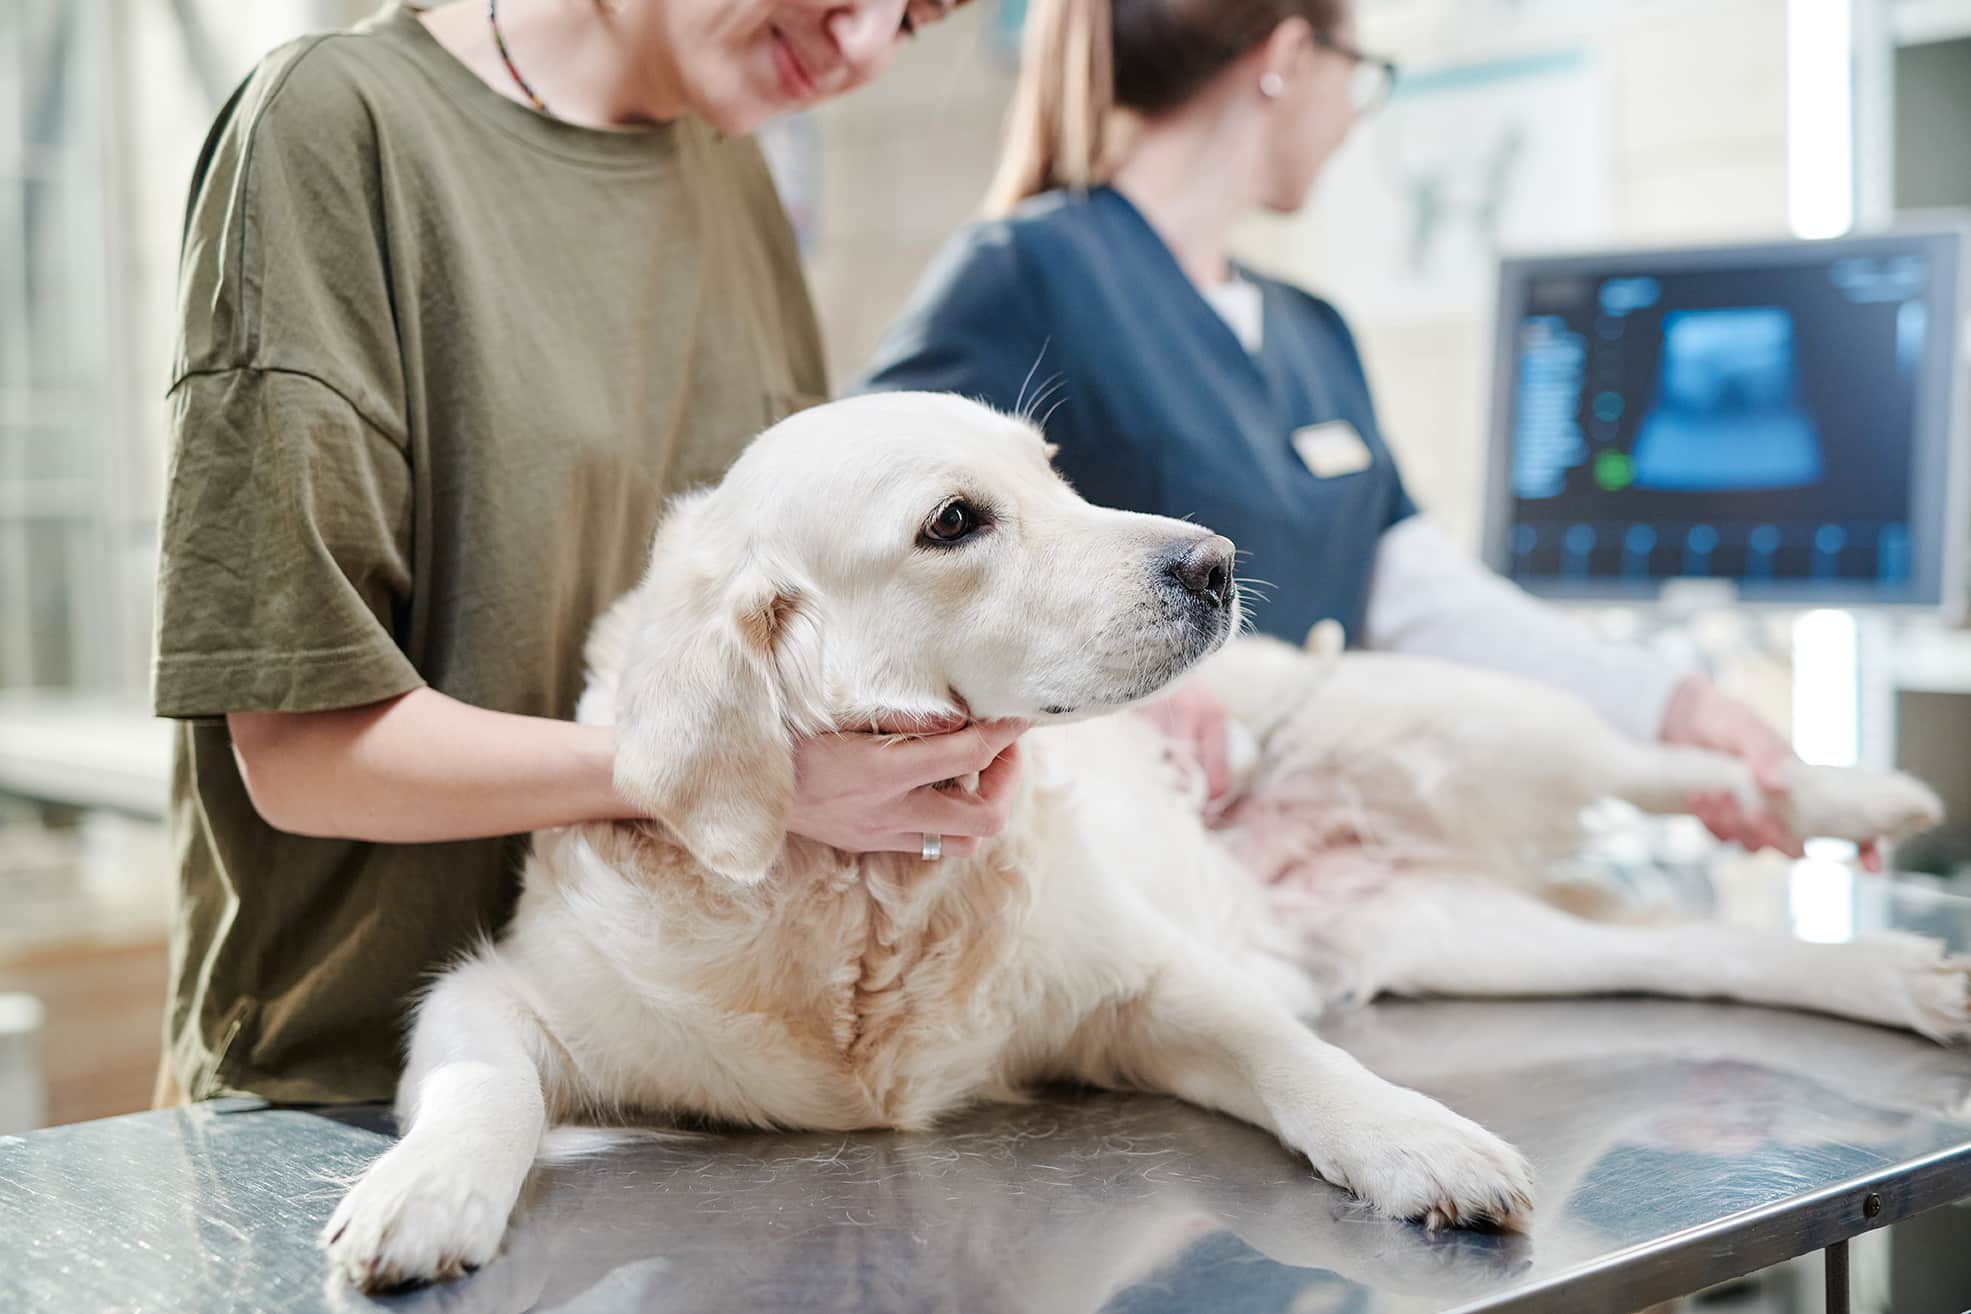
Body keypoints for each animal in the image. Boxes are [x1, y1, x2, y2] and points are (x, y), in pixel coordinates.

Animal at [323, 394, 1955, 1292]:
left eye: (1055, 471)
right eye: (956, 521)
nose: (1214, 560)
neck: (867, 895)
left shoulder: (1145, 985)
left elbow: (1305, 1064)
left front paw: (1415, 1138)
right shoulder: (500, 993)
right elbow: (480, 1086)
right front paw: (425, 1193)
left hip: (1465, 720)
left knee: (1662, 758)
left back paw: (1853, 799)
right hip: (1465, 936)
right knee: (1705, 945)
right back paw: (1902, 976)